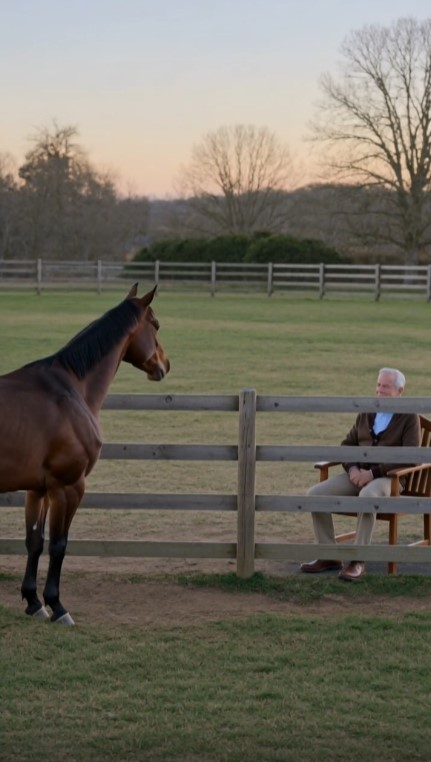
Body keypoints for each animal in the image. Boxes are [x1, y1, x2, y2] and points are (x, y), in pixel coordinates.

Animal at [0, 284, 169, 625]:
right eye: (156, 325)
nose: (165, 364)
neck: (71, 388)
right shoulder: (68, 487)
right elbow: (59, 545)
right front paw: (57, 606)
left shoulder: (38, 489)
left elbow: (35, 542)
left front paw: (33, 601)